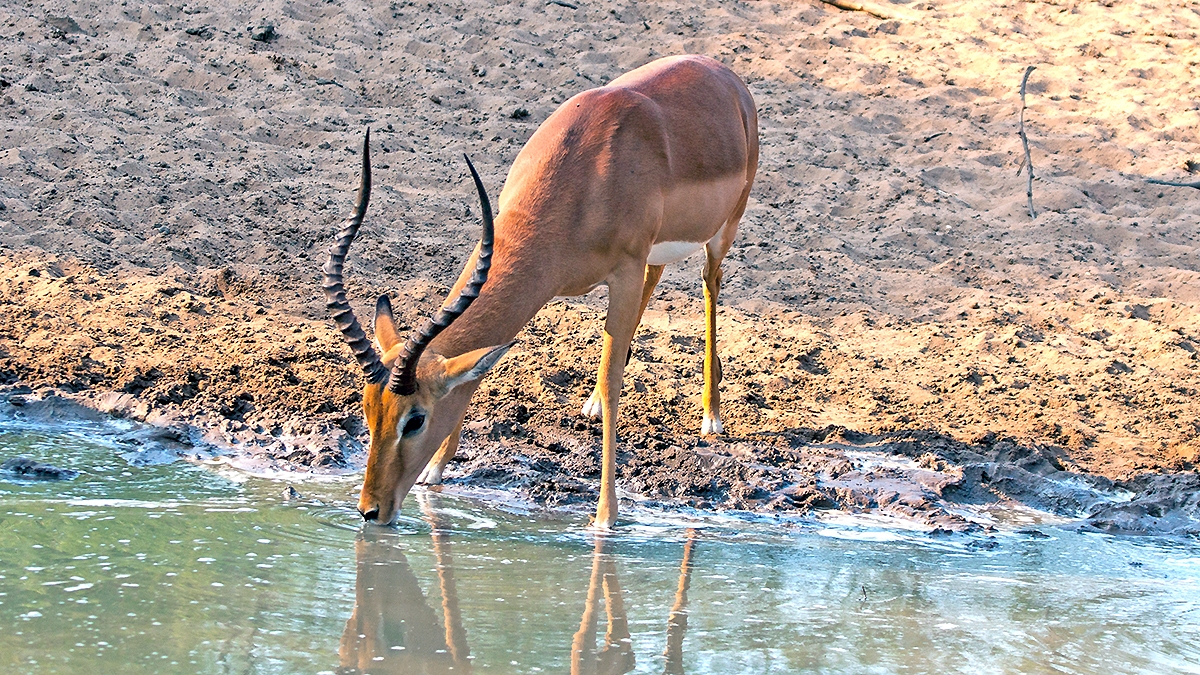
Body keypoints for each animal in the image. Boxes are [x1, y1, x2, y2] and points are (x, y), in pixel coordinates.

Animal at [324, 55, 758, 528]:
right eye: (368, 409)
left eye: (416, 419)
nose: (371, 510)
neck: (589, 173)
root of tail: (724, 74)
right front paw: (436, 471)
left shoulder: (624, 271)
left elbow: (613, 379)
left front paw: (605, 516)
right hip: (659, 250)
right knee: (658, 275)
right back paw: (592, 404)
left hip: (723, 231)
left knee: (710, 281)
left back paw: (711, 415)